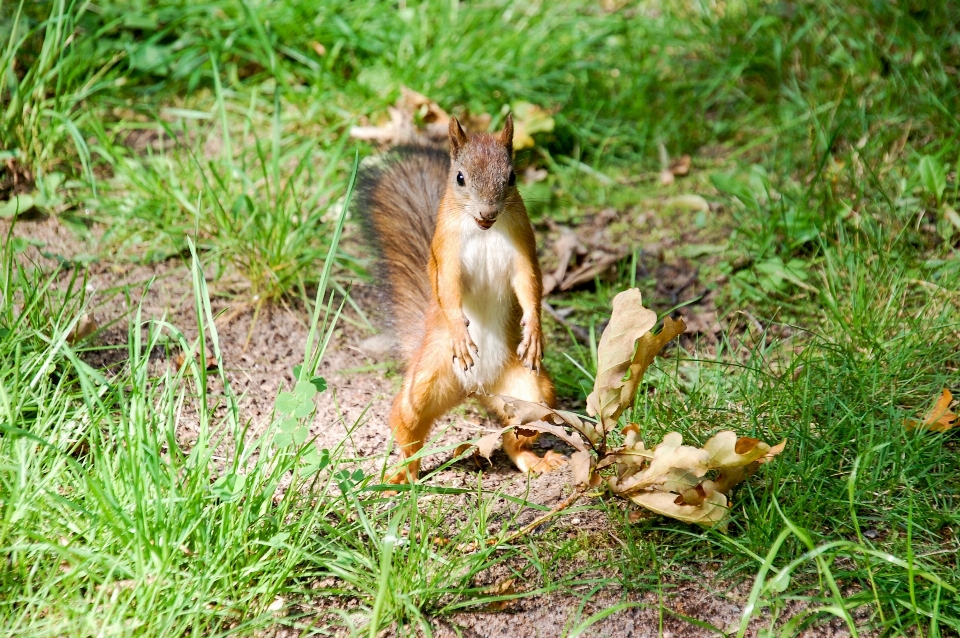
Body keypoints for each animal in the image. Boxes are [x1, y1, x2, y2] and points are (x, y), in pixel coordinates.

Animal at [356, 114, 568, 484]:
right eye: (460, 177)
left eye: (512, 177)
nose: (488, 211)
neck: (484, 231)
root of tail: (475, 388)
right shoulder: (447, 253)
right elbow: (449, 289)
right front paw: (460, 332)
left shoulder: (523, 250)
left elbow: (529, 286)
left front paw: (534, 332)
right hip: (424, 383)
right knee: (407, 429)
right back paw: (399, 477)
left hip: (533, 396)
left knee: (516, 439)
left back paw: (535, 460)